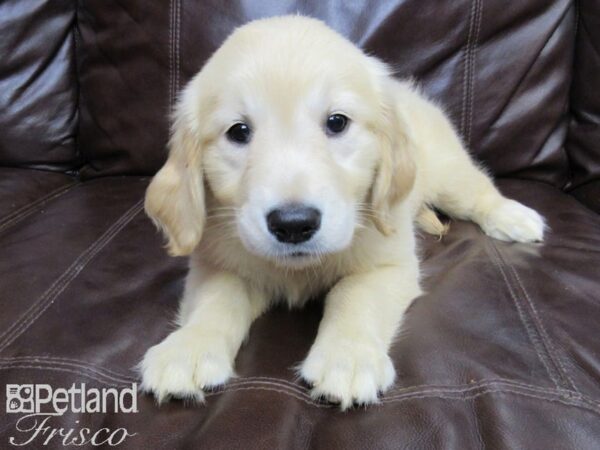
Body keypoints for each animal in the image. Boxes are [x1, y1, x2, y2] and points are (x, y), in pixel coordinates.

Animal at [139, 14, 544, 408]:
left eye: (337, 122)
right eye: (238, 132)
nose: (294, 225)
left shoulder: (388, 264)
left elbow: (355, 296)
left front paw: (347, 358)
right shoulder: (219, 262)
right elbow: (216, 300)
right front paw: (188, 348)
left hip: (447, 171)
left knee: (477, 188)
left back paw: (515, 218)